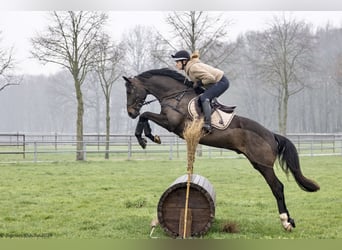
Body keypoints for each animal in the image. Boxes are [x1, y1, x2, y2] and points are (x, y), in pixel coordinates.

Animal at [121, 68, 320, 230]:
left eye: (130, 90)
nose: (130, 113)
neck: (175, 96)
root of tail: (271, 135)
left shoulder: (172, 124)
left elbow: (146, 115)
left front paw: (145, 137)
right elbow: (145, 116)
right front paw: (148, 137)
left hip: (263, 165)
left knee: (277, 187)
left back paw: (286, 221)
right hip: (257, 163)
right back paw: (290, 220)